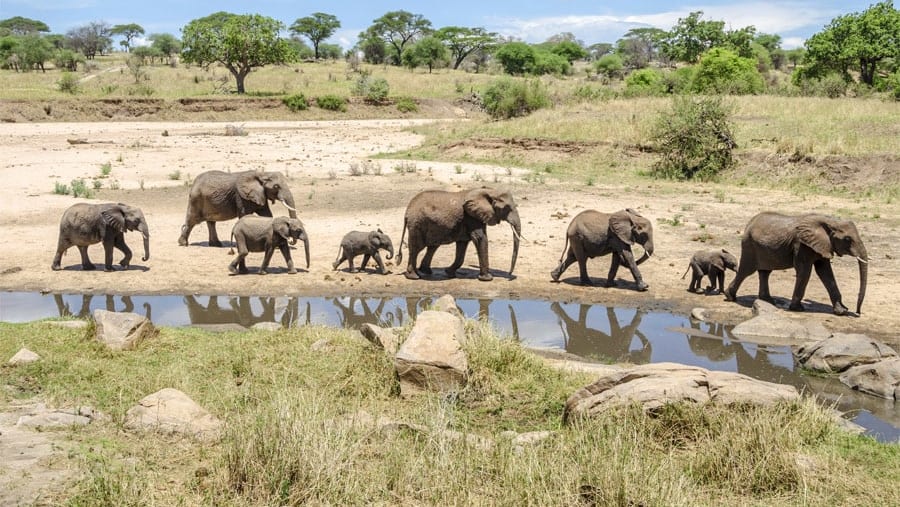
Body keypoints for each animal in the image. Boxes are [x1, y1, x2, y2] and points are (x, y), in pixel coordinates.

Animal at [724, 212, 868, 316]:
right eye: (847, 239)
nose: (857, 312)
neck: (829, 221)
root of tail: (750, 223)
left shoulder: (823, 245)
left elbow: (825, 272)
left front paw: (842, 311)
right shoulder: (801, 245)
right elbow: (805, 271)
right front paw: (797, 309)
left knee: (765, 272)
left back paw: (768, 300)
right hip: (749, 245)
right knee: (746, 271)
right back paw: (730, 296)